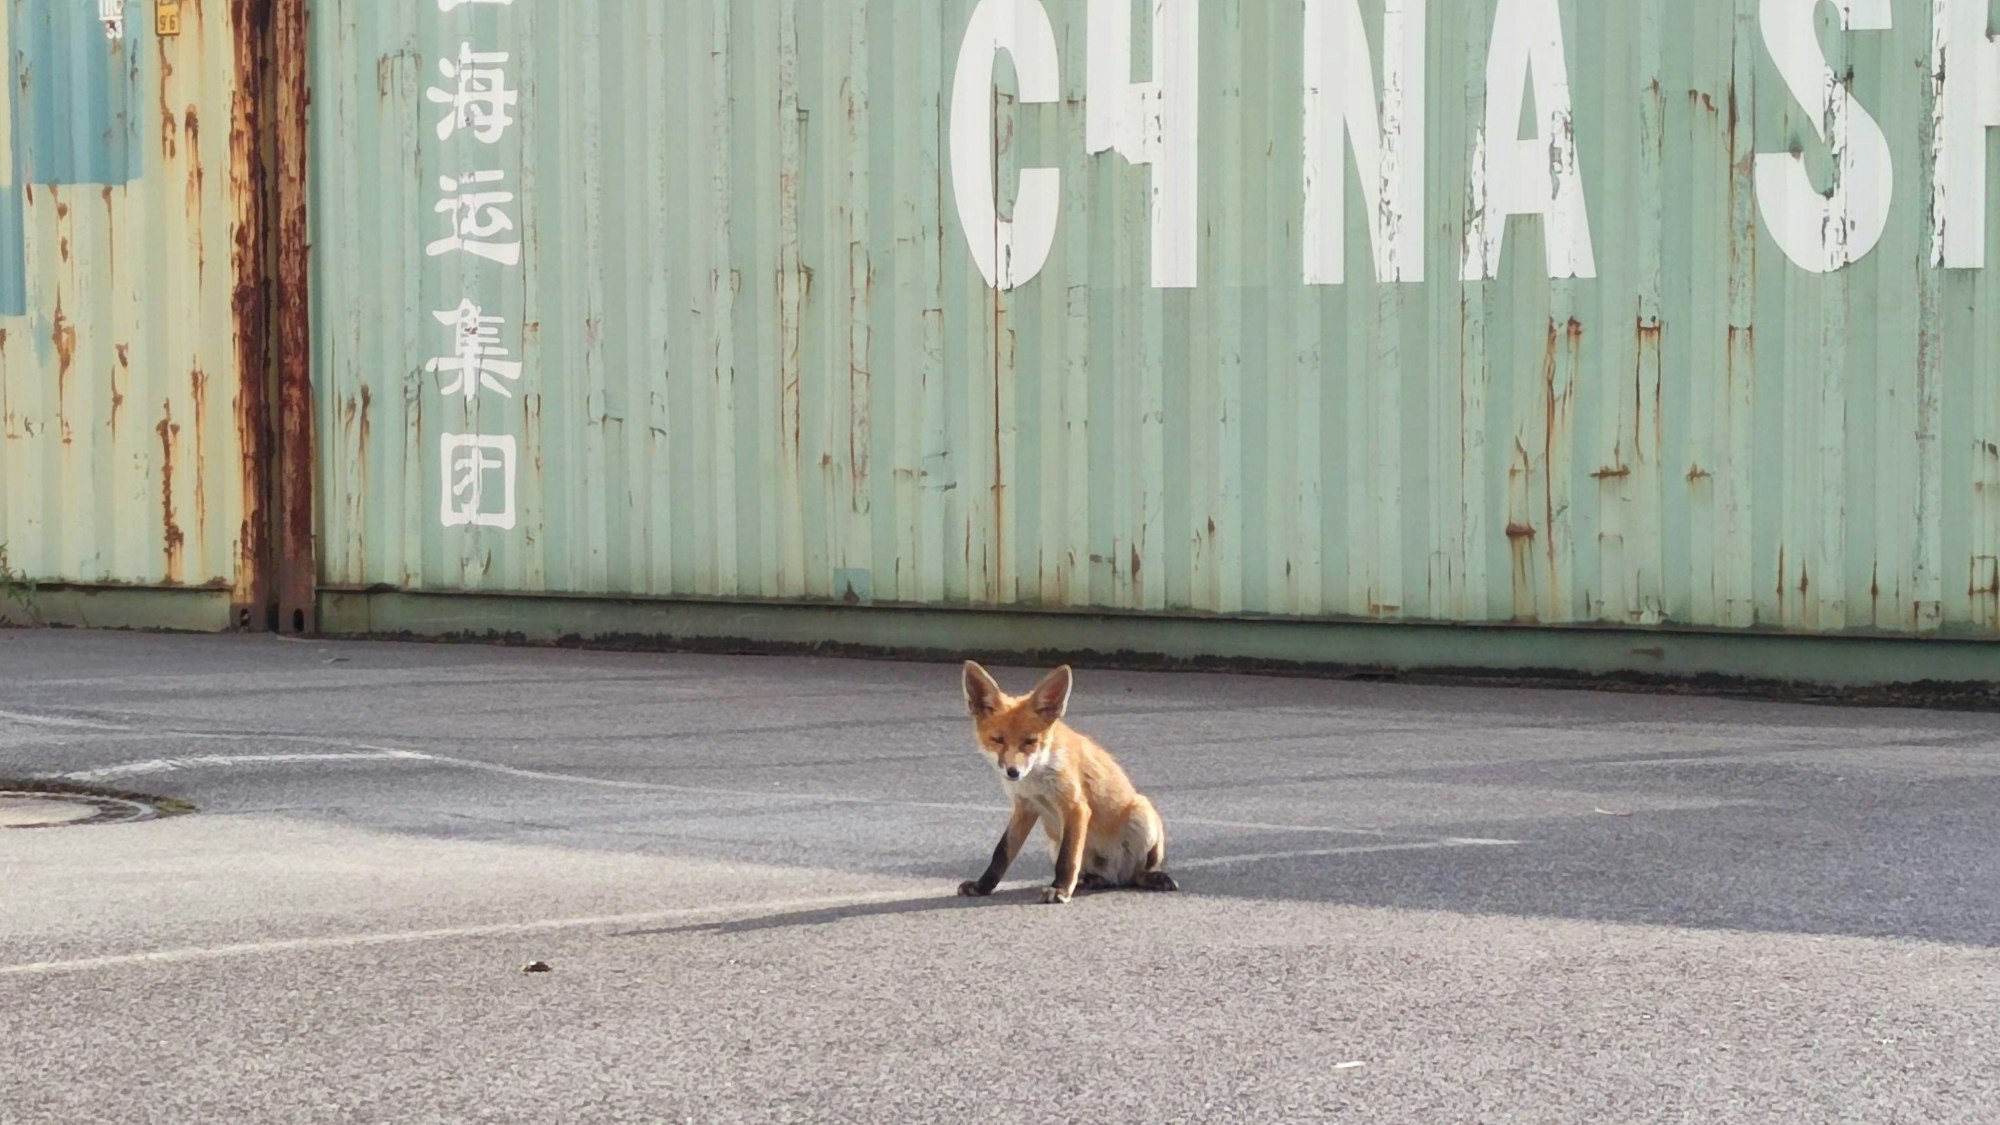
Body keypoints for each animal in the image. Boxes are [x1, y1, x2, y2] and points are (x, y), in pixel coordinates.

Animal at [955, 661, 1178, 904]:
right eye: (997, 740)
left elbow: (1069, 857)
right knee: (1102, 877)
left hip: (1142, 815)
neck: (1036, 781)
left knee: (1138, 874)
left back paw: (1154, 878)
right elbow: (1002, 852)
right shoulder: (1025, 807)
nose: (1013, 772)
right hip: (1054, 842)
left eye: (1030, 741)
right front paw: (982, 886)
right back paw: (1091, 880)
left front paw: (1060, 889)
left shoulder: (1075, 806)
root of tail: (1116, 876)